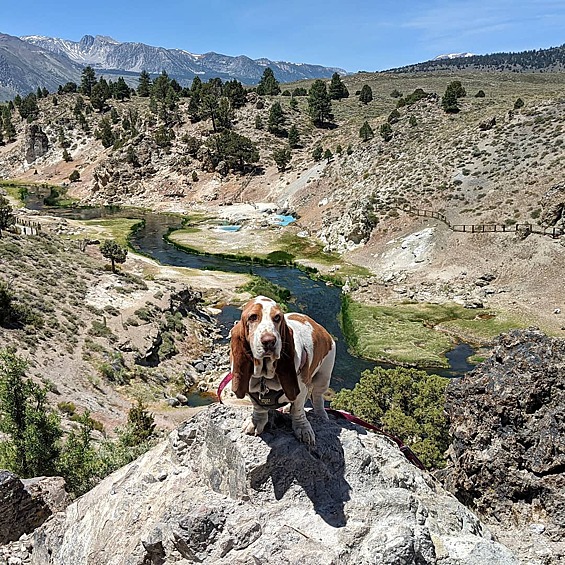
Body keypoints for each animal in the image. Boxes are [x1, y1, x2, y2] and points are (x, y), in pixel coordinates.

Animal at [229, 296, 334, 446]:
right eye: (253, 317)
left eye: (277, 317)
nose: (269, 341)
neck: (264, 376)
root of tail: (320, 327)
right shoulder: (253, 393)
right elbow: (258, 408)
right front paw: (256, 422)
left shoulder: (301, 388)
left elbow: (298, 410)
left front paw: (303, 429)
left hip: (323, 377)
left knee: (318, 397)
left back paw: (321, 415)